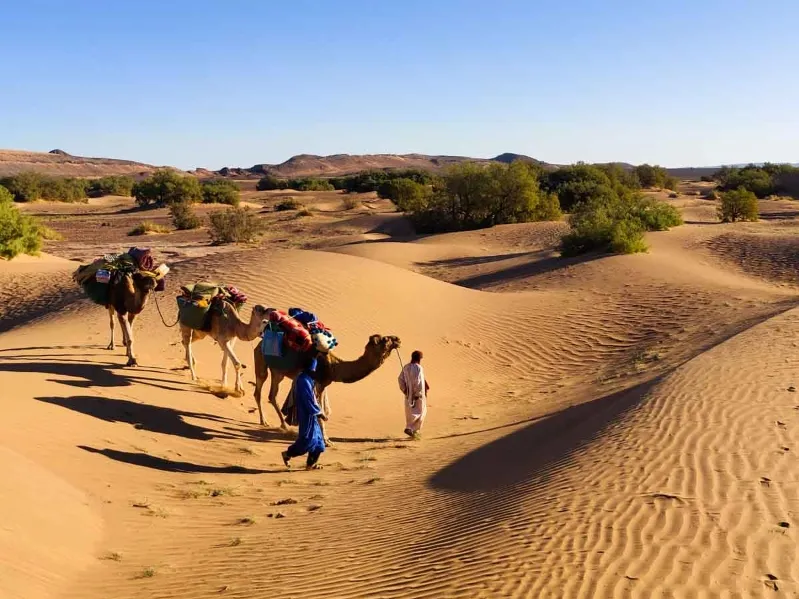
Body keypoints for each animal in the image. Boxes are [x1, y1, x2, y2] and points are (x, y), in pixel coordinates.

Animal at [255, 336, 404, 442]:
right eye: (386, 339)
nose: (398, 339)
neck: (334, 367)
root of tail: (259, 343)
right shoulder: (319, 383)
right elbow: (319, 410)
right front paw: (326, 440)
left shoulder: (323, 384)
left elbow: (323, 410)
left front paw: (322, 437)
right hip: (263, 363)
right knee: (260, 389)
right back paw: (273, 423)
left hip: (277, 371)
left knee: (270, 395)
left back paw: (276, 423)